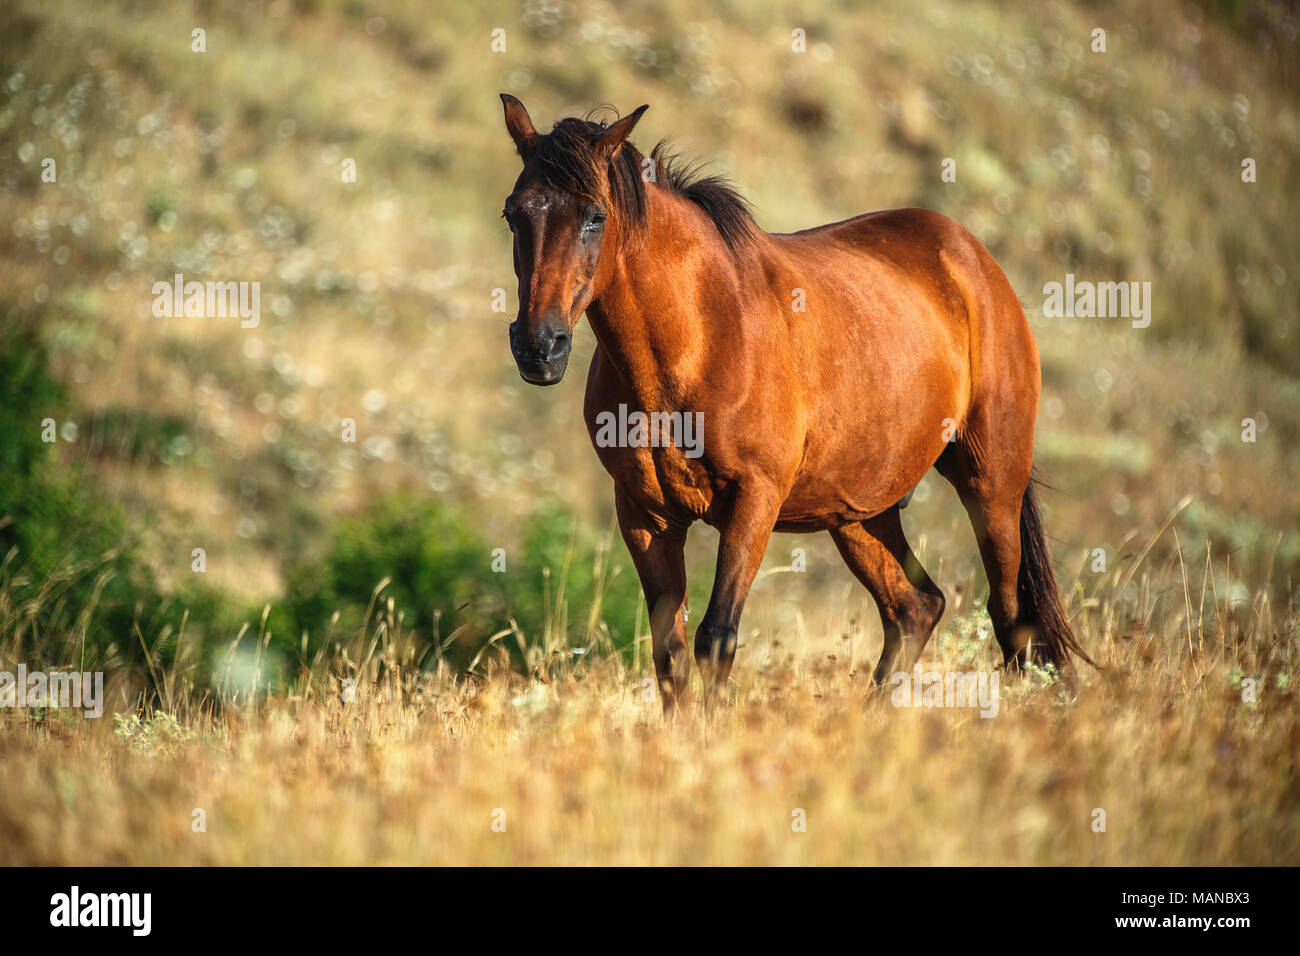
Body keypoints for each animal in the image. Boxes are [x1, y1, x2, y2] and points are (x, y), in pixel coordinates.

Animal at [497, 94, 1093, 711]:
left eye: (595, 217)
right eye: (513, 214)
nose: (538, 346)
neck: (698, 338)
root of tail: (976, 260)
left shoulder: (754, 500)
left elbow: (717, 638)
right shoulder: (645, 514)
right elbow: (671, 654)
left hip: (990, 483)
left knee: (1011, 620)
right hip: (860, 513)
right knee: (915, 608)